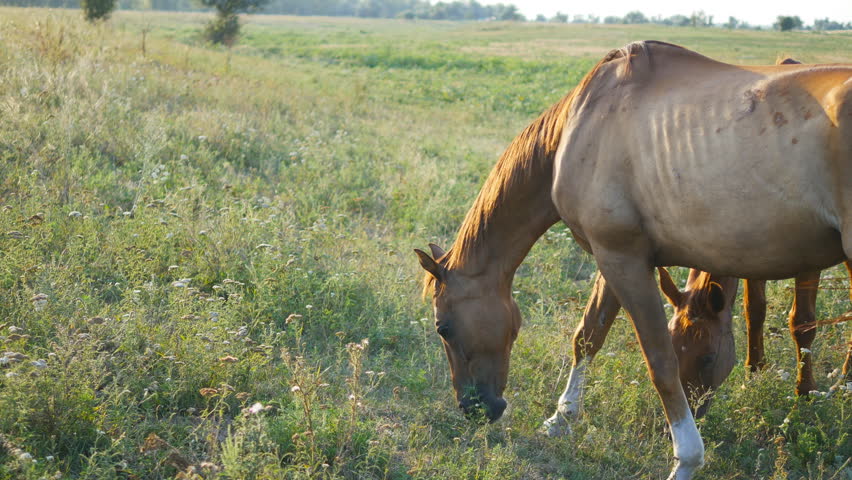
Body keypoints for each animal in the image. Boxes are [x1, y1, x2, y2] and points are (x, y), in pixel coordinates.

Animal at [414, 42, 852, 480]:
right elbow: (588, 335)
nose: (474, 409)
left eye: (443, 328)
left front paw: (686, 460)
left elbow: (659, 362)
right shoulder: (615, 257)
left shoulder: (623, 260)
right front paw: (561, 419)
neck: (581, 124)